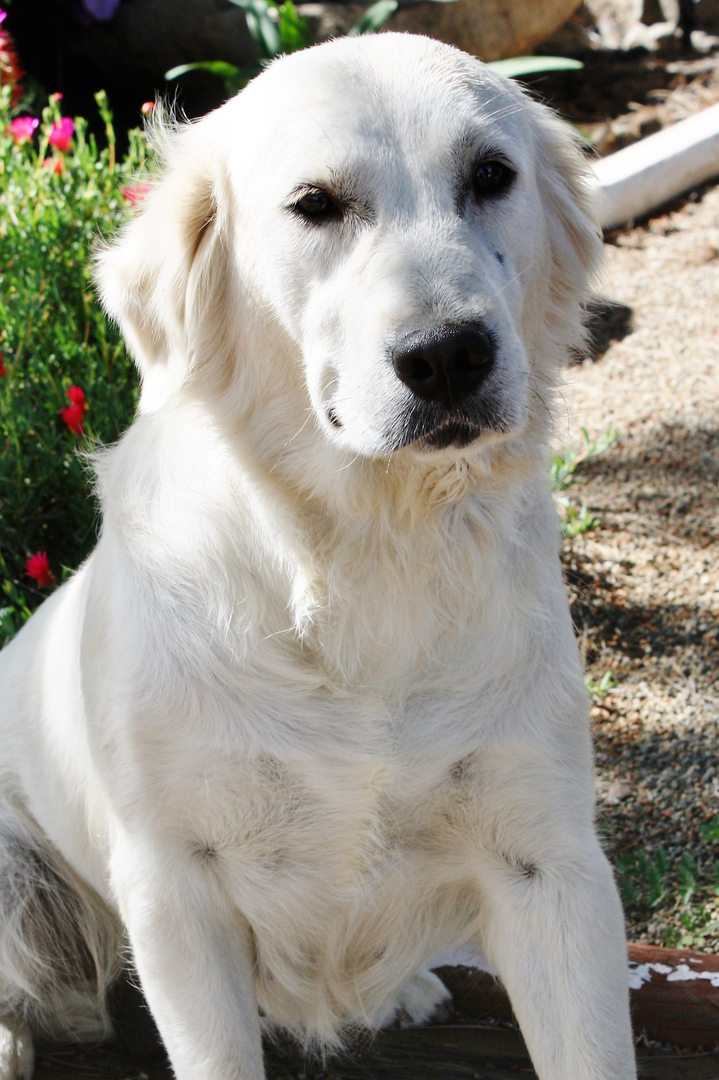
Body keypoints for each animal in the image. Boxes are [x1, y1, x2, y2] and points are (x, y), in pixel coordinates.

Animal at [0, 33, 634, 1080]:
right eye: (315, 204)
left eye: (490, 175)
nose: (447, 356)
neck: (368, 553)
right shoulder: (175, 888)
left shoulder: (549, 861)